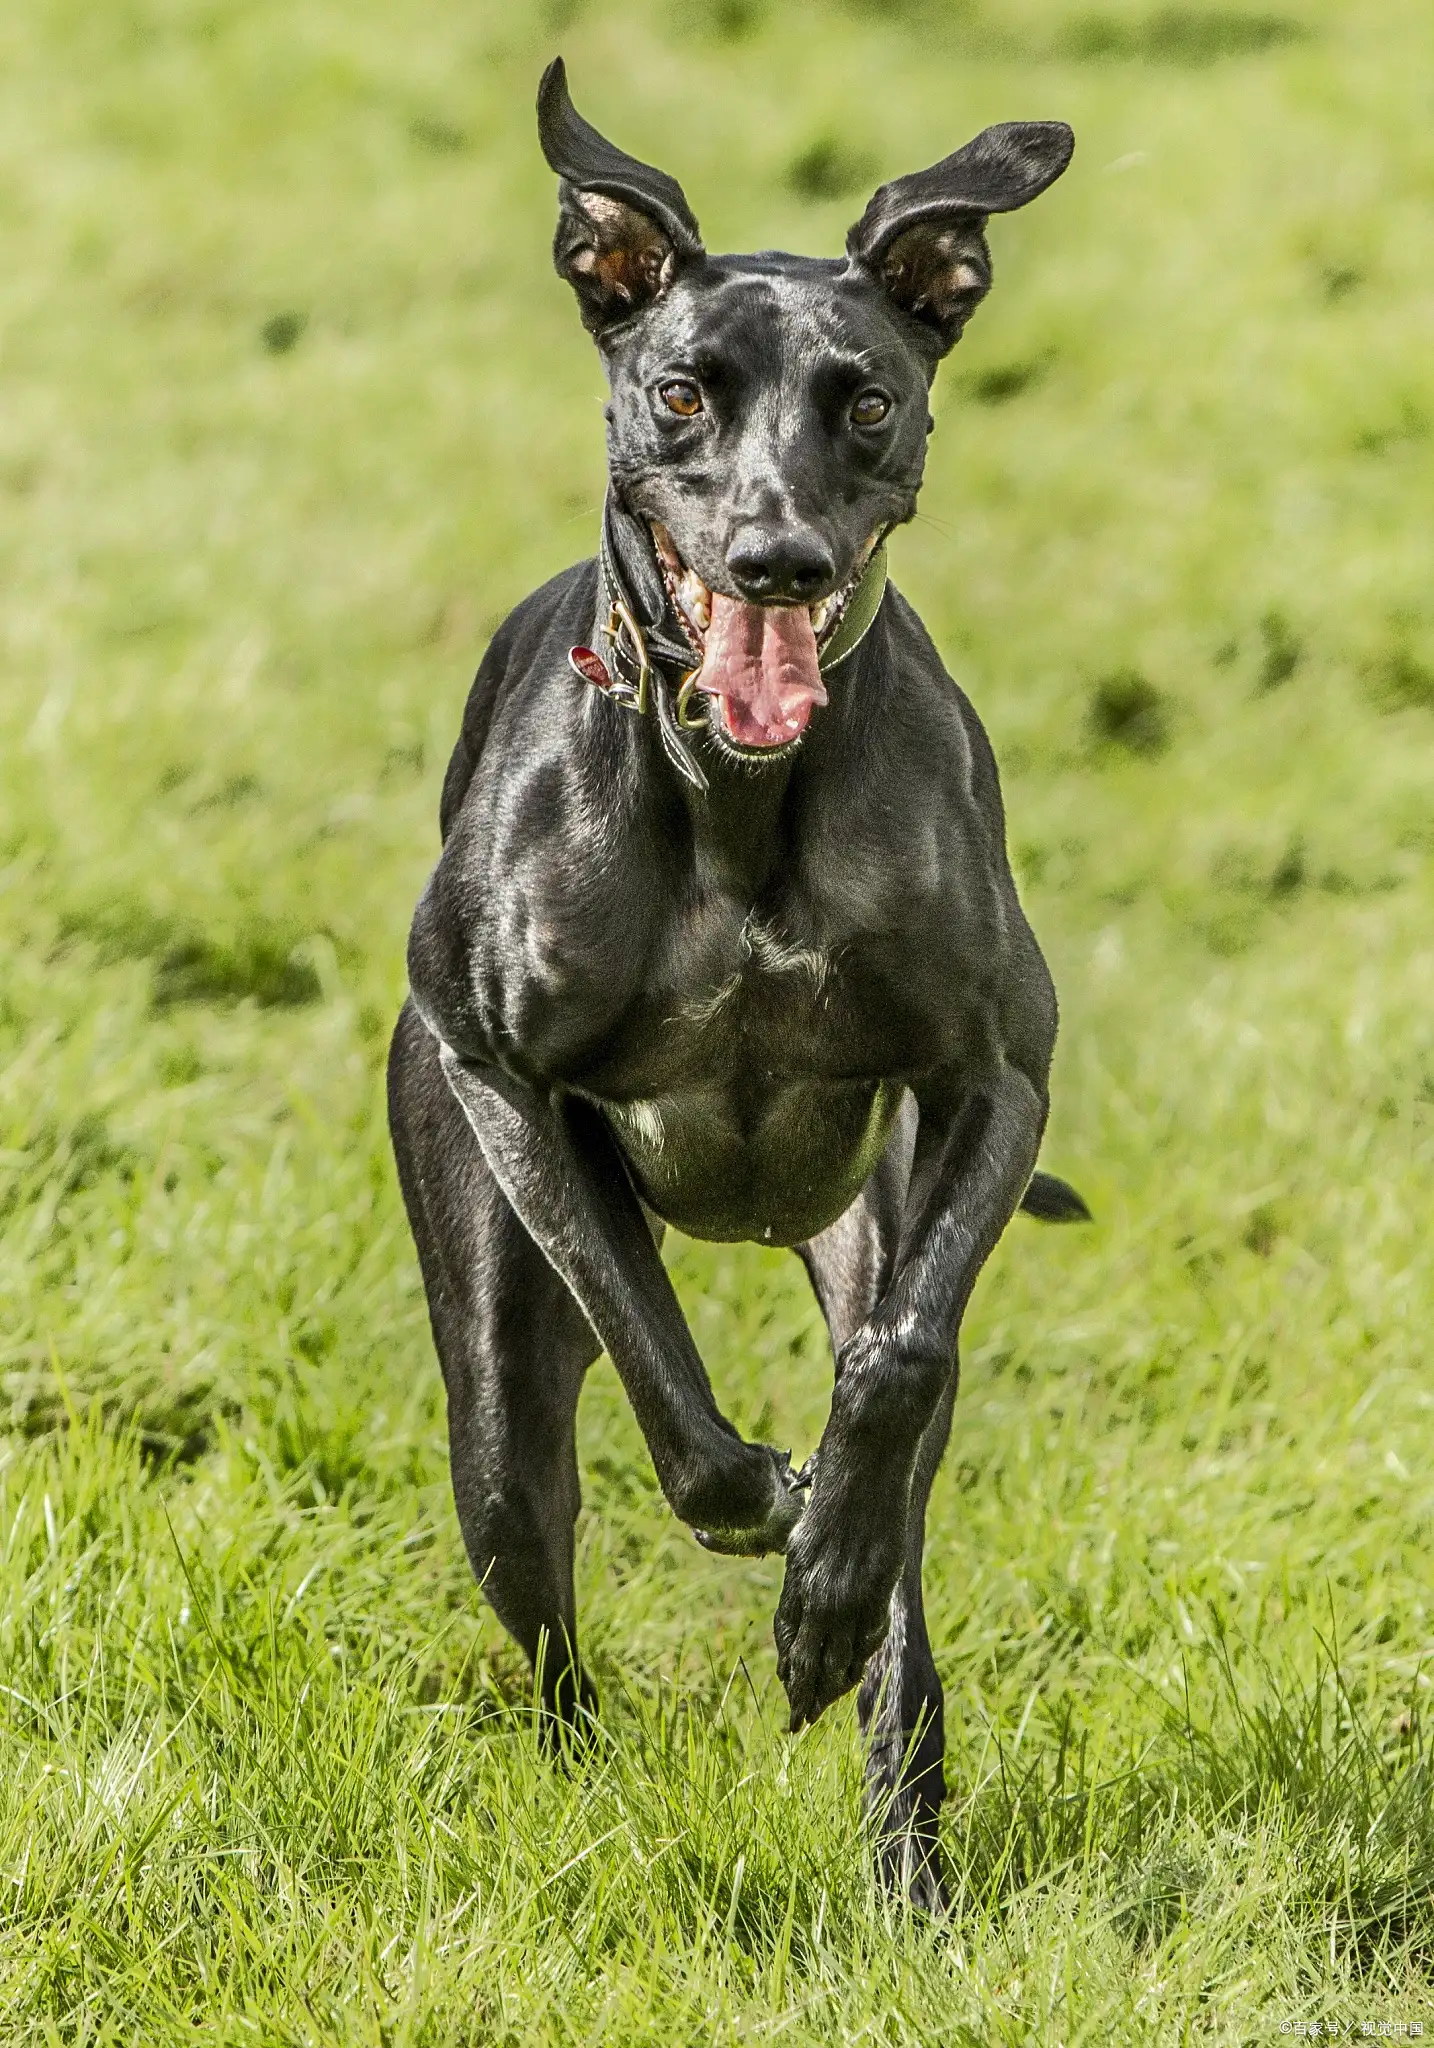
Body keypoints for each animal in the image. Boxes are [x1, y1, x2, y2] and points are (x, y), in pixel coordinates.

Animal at [387, 64, 1081, 1916]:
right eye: (680, 392)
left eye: (868, 402)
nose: (774, 559)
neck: (737, 796)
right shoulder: (491, 1071)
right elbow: (646, 1350)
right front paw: (754, 1498)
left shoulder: (993, 1075)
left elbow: (896, 1368)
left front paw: (818, 1574)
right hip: (486, 1398)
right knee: (535, 1575)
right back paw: (589, 1781)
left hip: (871, 1207)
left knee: (897, 1499)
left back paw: (892, 1809)